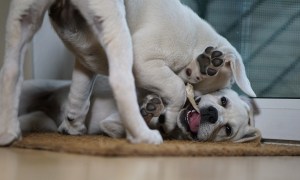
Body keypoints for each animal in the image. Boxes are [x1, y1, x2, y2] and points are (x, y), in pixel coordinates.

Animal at [19, 78, 262, 143]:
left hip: (42, 122)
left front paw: (151, 113)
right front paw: (151, 103)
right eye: (223, 100)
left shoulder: (110, 124)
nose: (212, 114)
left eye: (227, 130)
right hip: (33, 88)